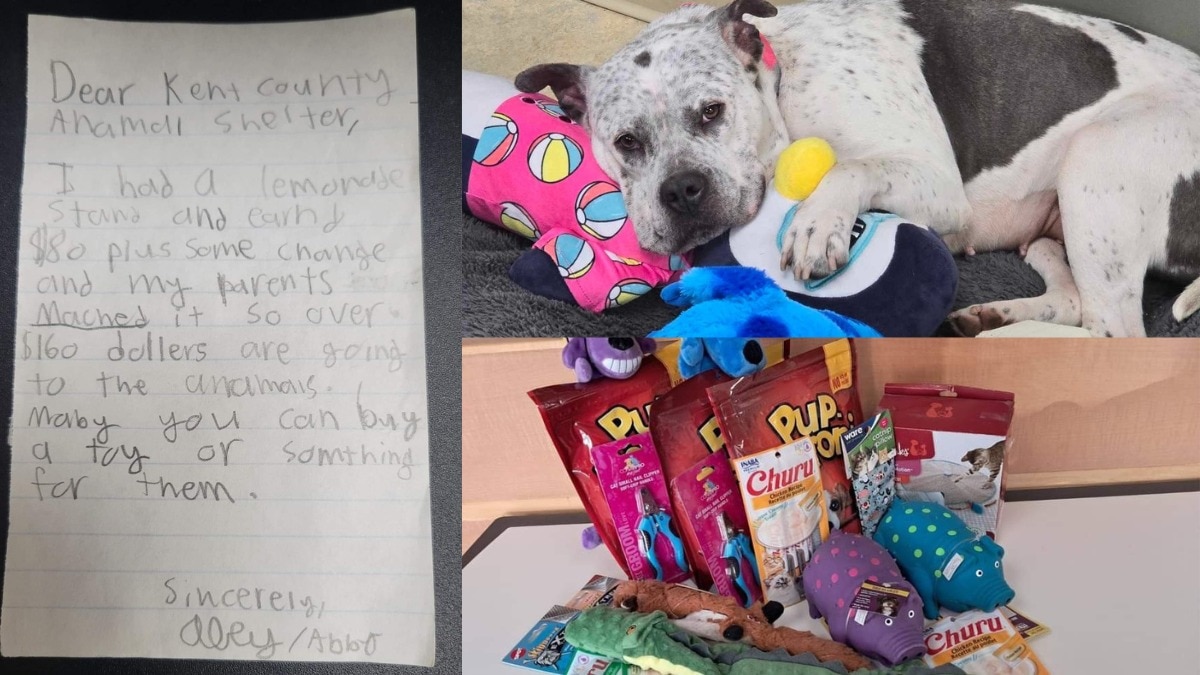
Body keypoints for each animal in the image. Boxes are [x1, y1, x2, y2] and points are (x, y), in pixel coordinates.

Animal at [520, 0, 1200, 336]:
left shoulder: (935, 181)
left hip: (1096, 158)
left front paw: (816, 226)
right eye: (626, 141)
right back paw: (994, 319)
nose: (683, 191)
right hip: (1052, 228)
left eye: (712, 112)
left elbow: (847, 170)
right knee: (1073, 300)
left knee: (1114, 330)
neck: (781, 76)